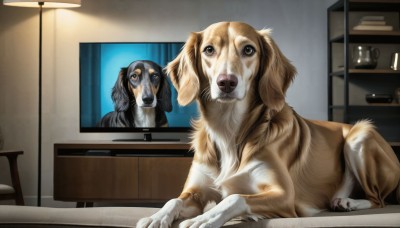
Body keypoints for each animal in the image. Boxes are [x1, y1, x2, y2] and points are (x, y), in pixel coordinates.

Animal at [136, 21, 398, 228]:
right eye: (209, 50)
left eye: (248, 49)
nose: (226, 82)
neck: (228, 128)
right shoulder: (195, 192)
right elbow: (173, 200)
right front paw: (155, 217)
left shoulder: (284, 196)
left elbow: (234, 198)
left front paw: (205, 218)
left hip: (360, 135)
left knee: (378, 200)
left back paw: (348, 202)